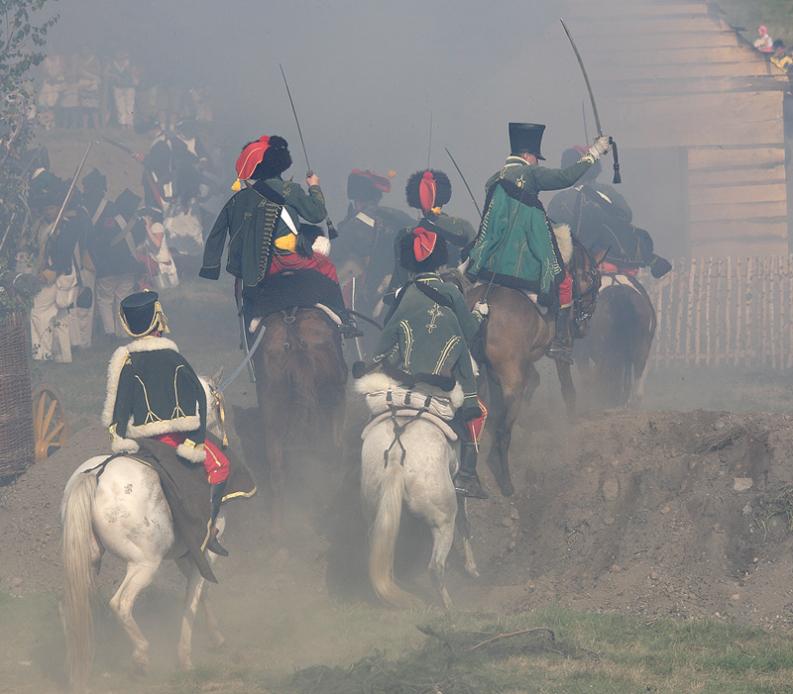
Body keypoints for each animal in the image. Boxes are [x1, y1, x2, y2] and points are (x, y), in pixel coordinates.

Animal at [62, 378, 229, 692]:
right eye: (215, 401)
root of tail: (96, 474)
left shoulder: (185, 556)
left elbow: (200, 593)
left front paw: (215, 637)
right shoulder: (203, 552)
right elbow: (195, 595)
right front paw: (187, 657)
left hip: (88, 561)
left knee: (78, 609)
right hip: (144, 564)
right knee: (121, 604)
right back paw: (140, 658)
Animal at [358, 376, 480, 608]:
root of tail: (396, 456)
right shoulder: (457, 488)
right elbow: (465, 523)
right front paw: (472, 568)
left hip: (376, 510)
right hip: (443, 521)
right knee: (435, 567)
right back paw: (449, 608)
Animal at [464, 242, 600, 498]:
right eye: (595, 281)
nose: (585, 326)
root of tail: (484, 303)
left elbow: (532, 381)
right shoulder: (558, 351)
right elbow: (567, 388)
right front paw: (571, 420)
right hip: (512, 384)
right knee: (503, 433)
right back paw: (506, 483)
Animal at [576, 278, 656, 408]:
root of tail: (622, 293)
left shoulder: (581, 353)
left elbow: (587, 377)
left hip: (604, 351)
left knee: (608, 372)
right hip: (640, 347)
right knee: (637, 370)